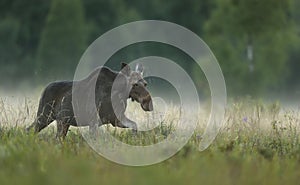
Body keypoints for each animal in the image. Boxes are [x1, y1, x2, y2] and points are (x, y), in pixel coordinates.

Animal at [26, 62, 154, 138]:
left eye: (145, 84)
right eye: (135, 84)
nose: (148, 102)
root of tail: (43, 89)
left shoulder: (115, 119)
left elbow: (135, 125)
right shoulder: (94, 121)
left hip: (62, 121)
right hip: (45, 116)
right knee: (30, 129)